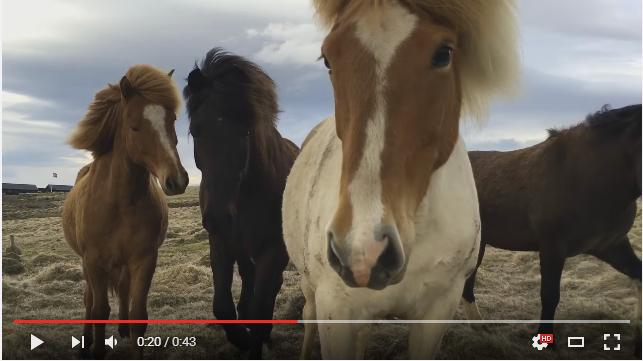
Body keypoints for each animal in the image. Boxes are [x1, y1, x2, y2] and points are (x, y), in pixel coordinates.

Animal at [62, 64, 189, 358]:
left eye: (172, 120)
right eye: (134, 125)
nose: (177, 180)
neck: (119, 204)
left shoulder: (144, 259)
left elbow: (138, 316)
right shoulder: (94, 262)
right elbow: (98, 310)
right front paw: (95, 348)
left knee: (121, 290)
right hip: (88, 265)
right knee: (89, 300)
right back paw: (85, 342)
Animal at [184, 47, 300, 358]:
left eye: (245, 131)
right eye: (195, 131)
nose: (219, 218)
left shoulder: (273, 249)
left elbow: (261, 305)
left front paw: (253, 341)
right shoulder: (221, 244)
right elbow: (223, 307)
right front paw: (242, 338)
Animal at [284, 0, 520, 358]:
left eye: (443, 53)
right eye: (328, 58)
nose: (364, 252)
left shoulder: (437, 310)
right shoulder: (335, 311)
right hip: (311, 288)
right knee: (308, 316)